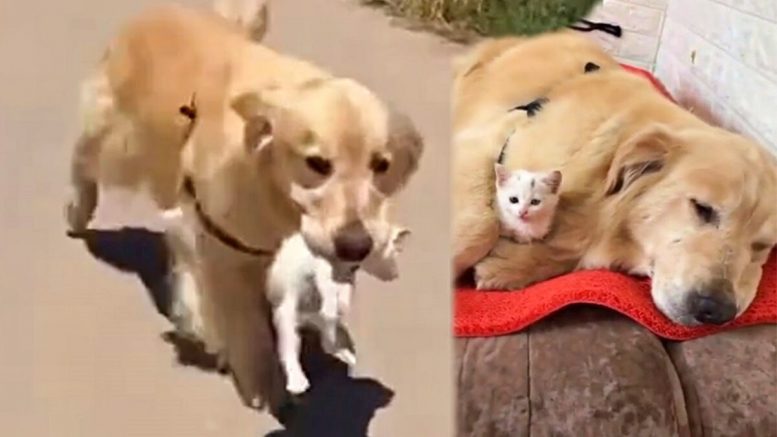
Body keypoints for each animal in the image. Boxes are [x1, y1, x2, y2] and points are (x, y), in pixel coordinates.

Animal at [266, 223, 410, 394]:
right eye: (395, 252)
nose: (396, 275)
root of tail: (307, 319)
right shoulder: (323, 264)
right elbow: (328, 285)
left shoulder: (346, 274)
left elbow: (343, 290)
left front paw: (341, 303)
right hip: (286, 312)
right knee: (290, 345)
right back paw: (298, 379)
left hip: (324, 325)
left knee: (329, 342)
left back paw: (348, 357)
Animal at [452, 32, 776, 328]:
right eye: (702, 208)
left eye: (761, 246)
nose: (717, 312)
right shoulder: (488, 141)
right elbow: (481, 227)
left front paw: (509, 264)